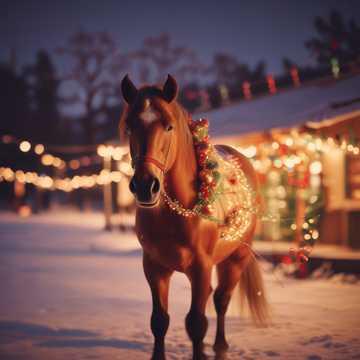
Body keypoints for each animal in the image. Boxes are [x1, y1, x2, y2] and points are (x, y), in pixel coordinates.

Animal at [119, 74, 268, 358]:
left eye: (168, 126)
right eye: (129, 127)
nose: (145, 185)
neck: (177, 214)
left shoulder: (201, 267)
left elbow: (196, 324)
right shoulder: (154, 268)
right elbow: (159, 321)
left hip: (236, 258)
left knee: (221, 300)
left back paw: (220, 345)